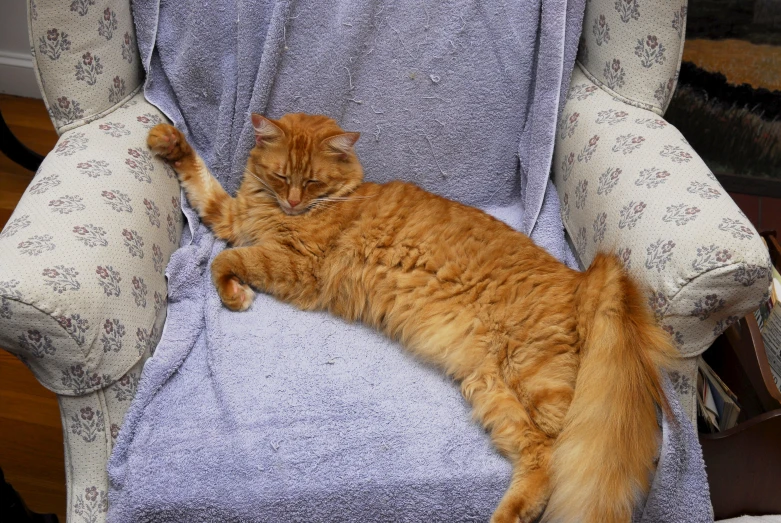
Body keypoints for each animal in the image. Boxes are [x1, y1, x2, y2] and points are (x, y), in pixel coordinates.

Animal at [149, 114, 672, 523]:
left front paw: (236, 296)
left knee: (572, 453)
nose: (294, 201)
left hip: (537, 380)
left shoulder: (296, 267)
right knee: (541, 456)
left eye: (311, 182)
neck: (284, 211)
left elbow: (223, 262)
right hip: (492, 387)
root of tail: (582, 276)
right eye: (281, 177)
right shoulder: (234, 219)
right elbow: (203, 187)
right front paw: (167, 140)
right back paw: (508, 515)